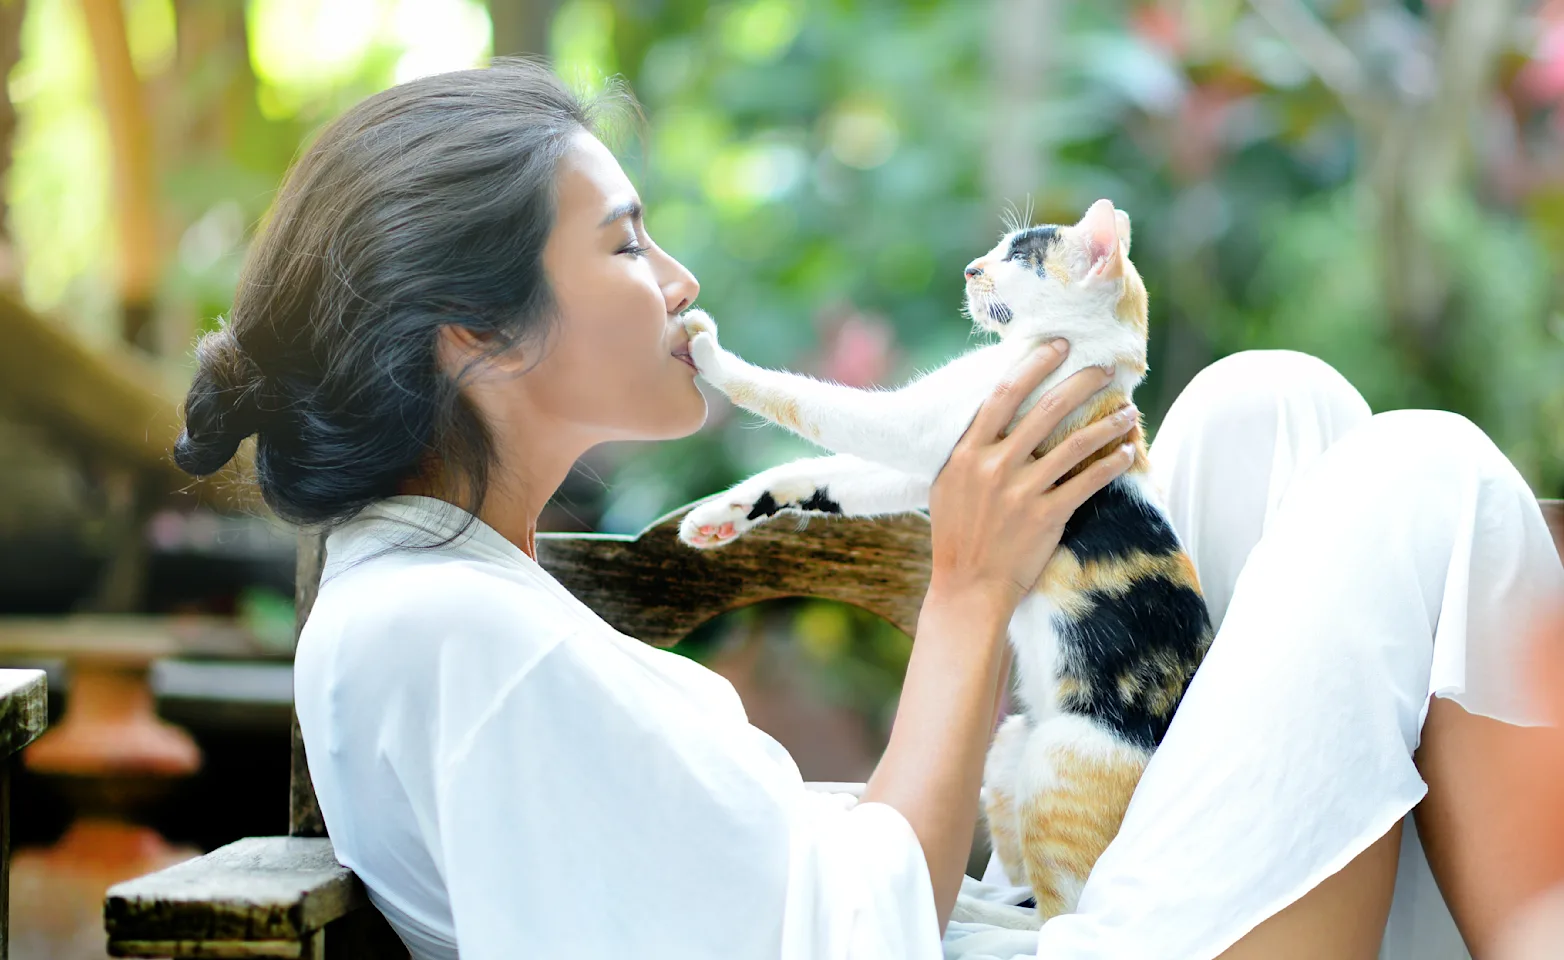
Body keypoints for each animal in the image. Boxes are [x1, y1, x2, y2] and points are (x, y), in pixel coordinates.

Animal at [669, 197, 1207, 925]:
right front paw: (720, 514)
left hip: (1059, 760)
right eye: (999, 249)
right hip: (1011, 744)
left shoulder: (922, 424)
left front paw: (708, 352)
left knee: (1059, 919)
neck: (1086, 358)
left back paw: (971, 913)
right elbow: (831, 476)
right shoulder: (932, 467)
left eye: (1019, 256)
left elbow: (810, 402)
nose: (972, 268)